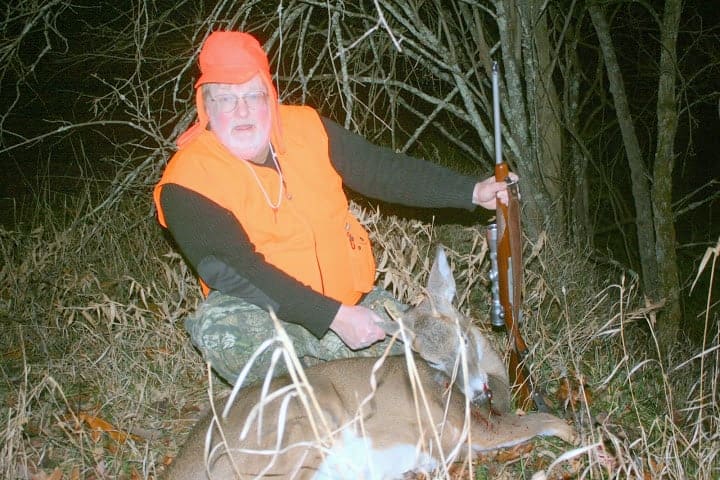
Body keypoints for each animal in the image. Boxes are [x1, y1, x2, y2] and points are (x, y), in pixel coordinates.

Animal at [163, 246, 576, 479]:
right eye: (432, 360)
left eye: (462, 337)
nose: (474, 390)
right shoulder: (468, 425)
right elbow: (548, 421)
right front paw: (585, 439)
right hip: (298, 426)